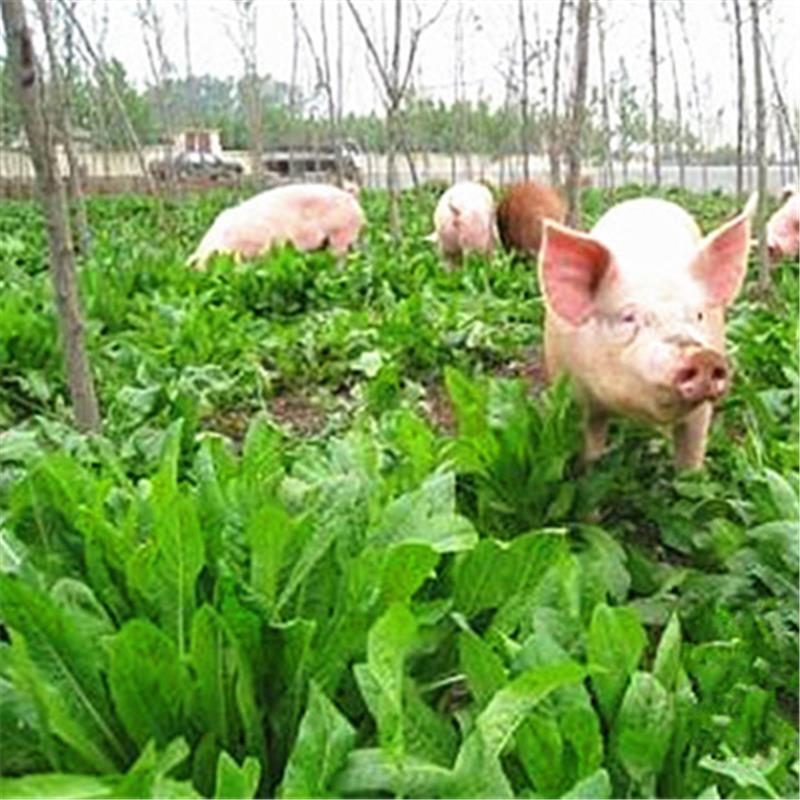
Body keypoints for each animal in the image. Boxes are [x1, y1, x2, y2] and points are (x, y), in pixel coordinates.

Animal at [536, 195, 756, 468]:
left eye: (699, 315)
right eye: (628, 317)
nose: (703, 356)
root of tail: (647, 199)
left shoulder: (701, 411)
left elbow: (692, 452)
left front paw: (692, 476)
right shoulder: (572, 394)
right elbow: (590, 441)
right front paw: (589, 467)